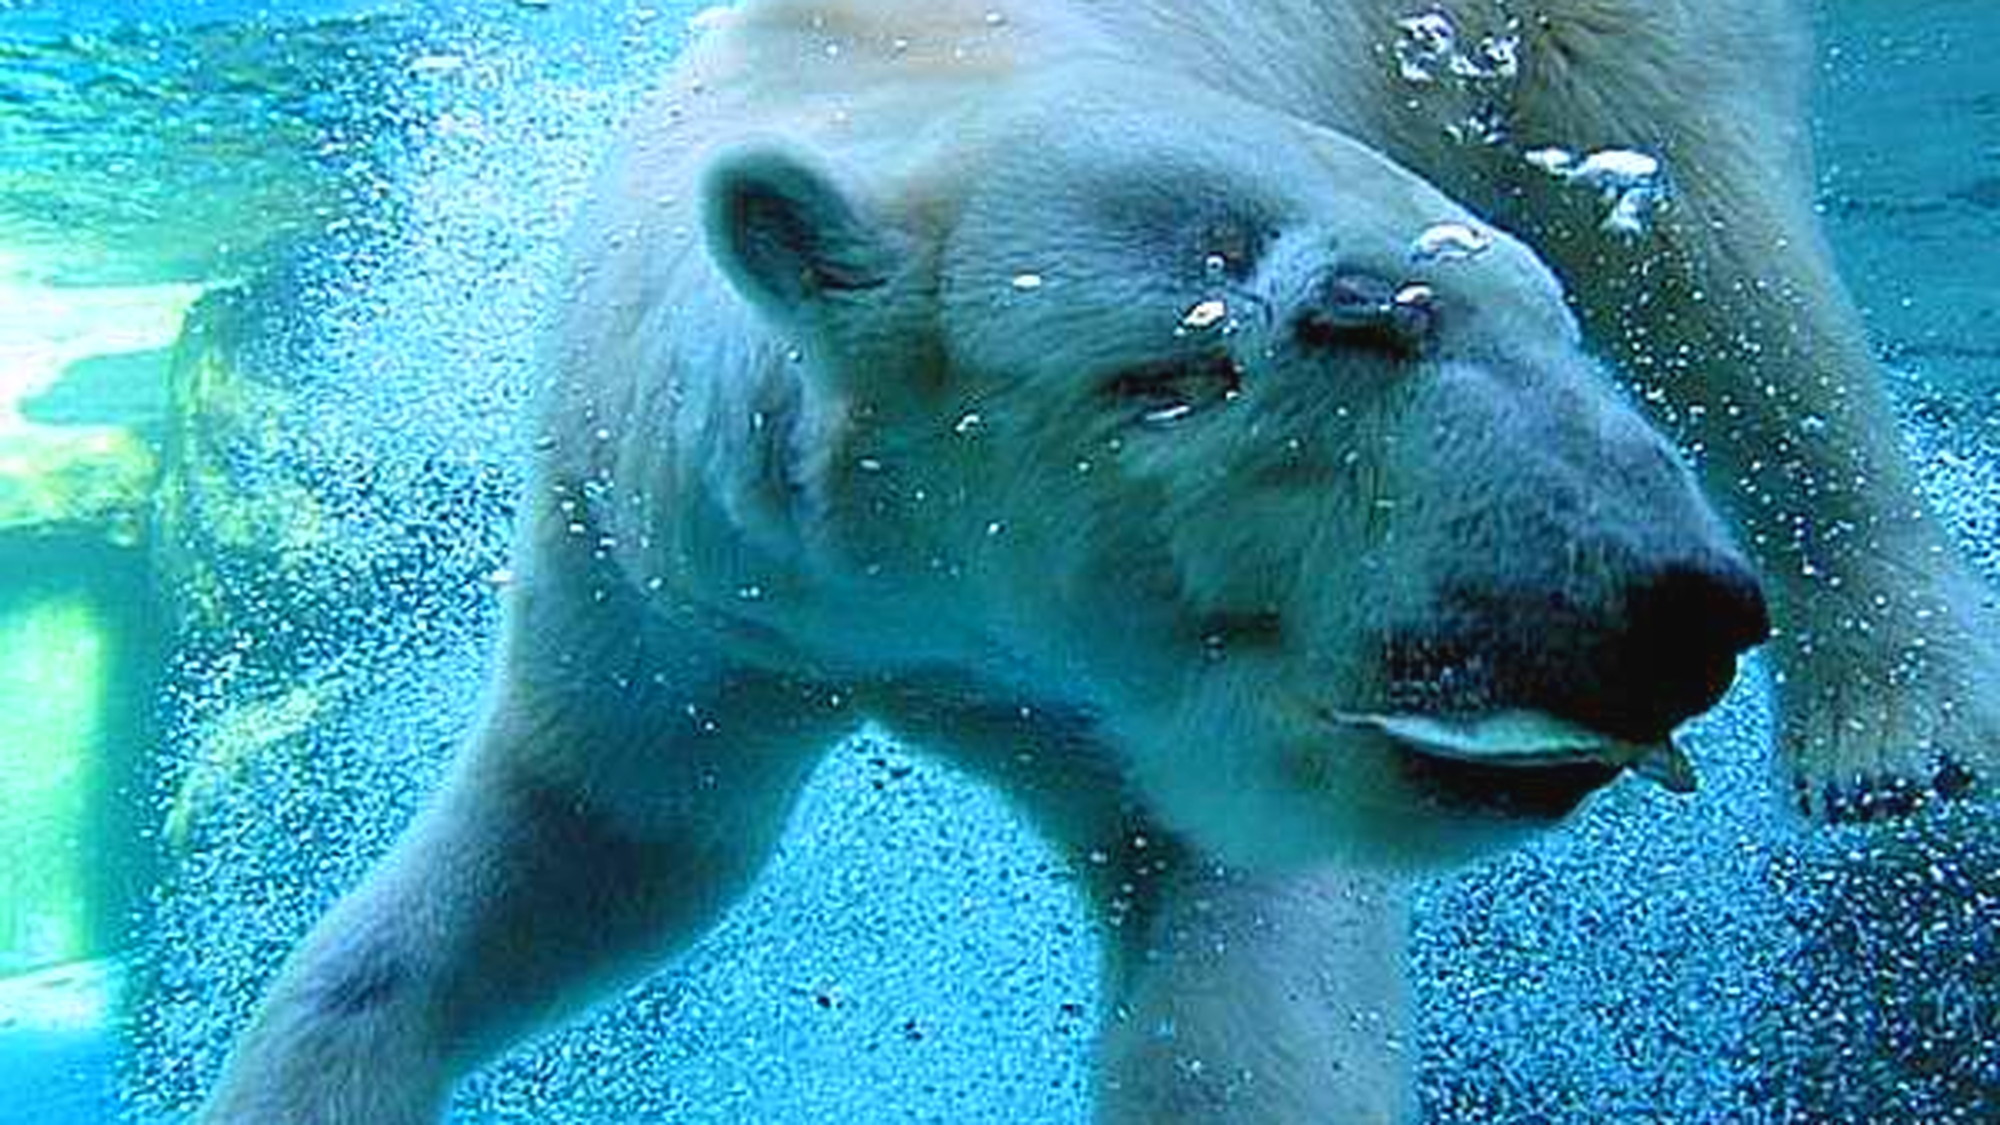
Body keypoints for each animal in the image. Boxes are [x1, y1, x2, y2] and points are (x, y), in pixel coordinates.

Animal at [199, 2, 2000, 1120]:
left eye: (1528, 322)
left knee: (1714, 256)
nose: (1673, 607)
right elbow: (598, 845)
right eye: (1353, 320)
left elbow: (1238, 962)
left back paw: (1887, 726)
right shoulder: (687, 583)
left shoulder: (1140, 685)